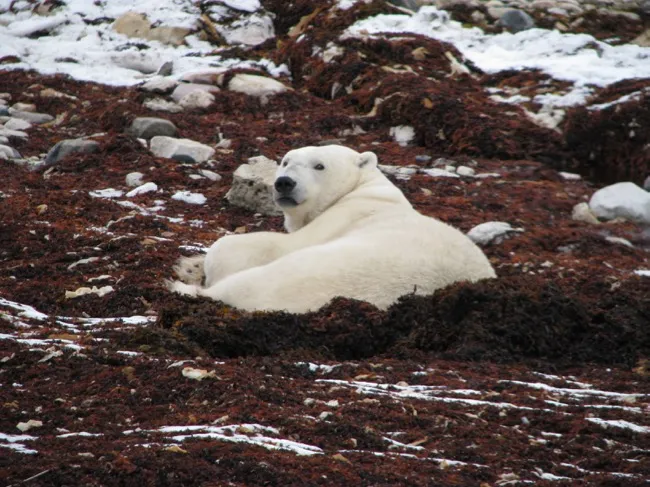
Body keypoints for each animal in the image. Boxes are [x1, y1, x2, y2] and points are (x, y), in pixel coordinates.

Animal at [168, 144, 496, 312]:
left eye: (319, 165)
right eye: (285, 161)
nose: (284, 183)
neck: (364, 188)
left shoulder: (341, 217)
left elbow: (273, 245)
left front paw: (198, 265)